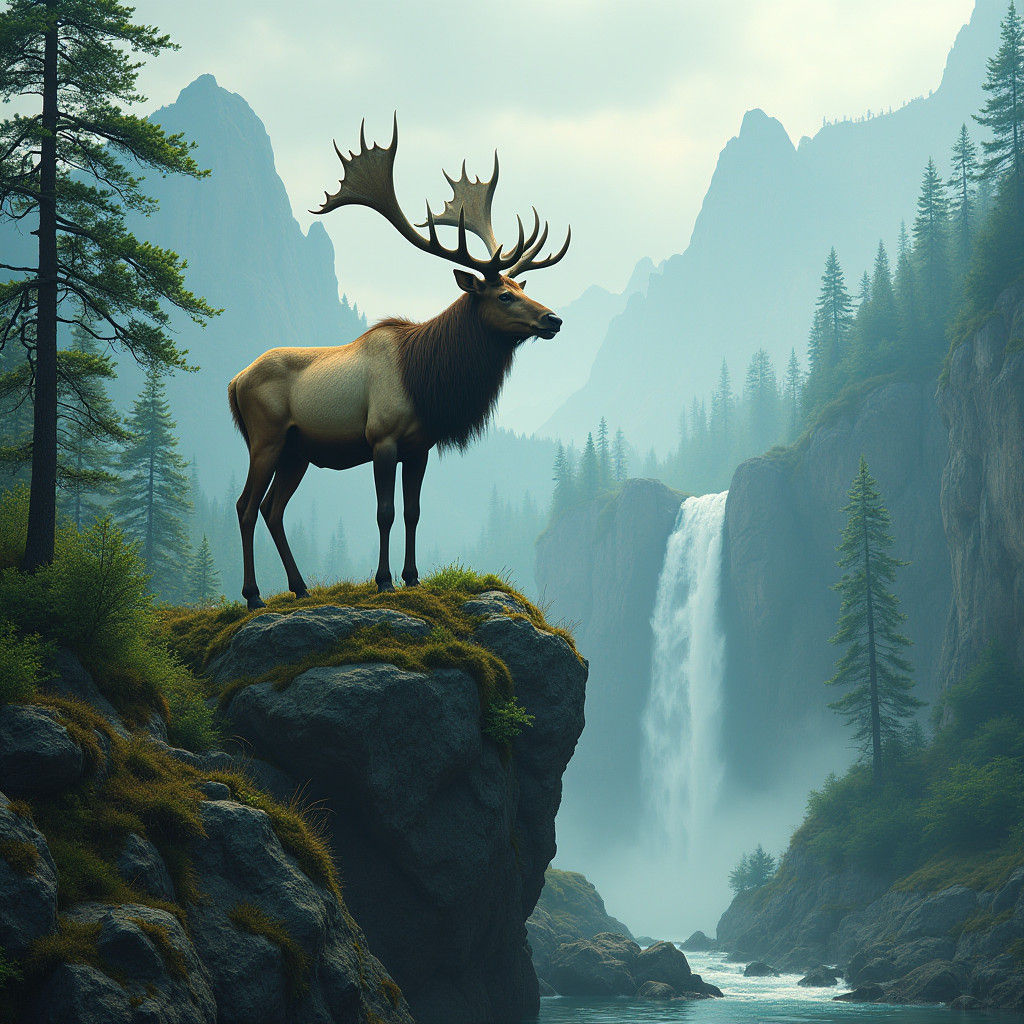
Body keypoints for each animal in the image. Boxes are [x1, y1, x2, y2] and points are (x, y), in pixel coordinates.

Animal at [228, 117, 570, 608]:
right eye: (504, 295)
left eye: (522, 287)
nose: (553, 319)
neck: (427, 379)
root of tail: (234, 381)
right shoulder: (382, 438)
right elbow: (385, 512)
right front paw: (384, 579)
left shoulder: (420, 445)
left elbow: (413, 512)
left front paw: (412, 577)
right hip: (265, 437)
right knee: (246, 506)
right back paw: (254, 595)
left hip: (297, 450)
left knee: (274, 509)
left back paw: (300, 586)